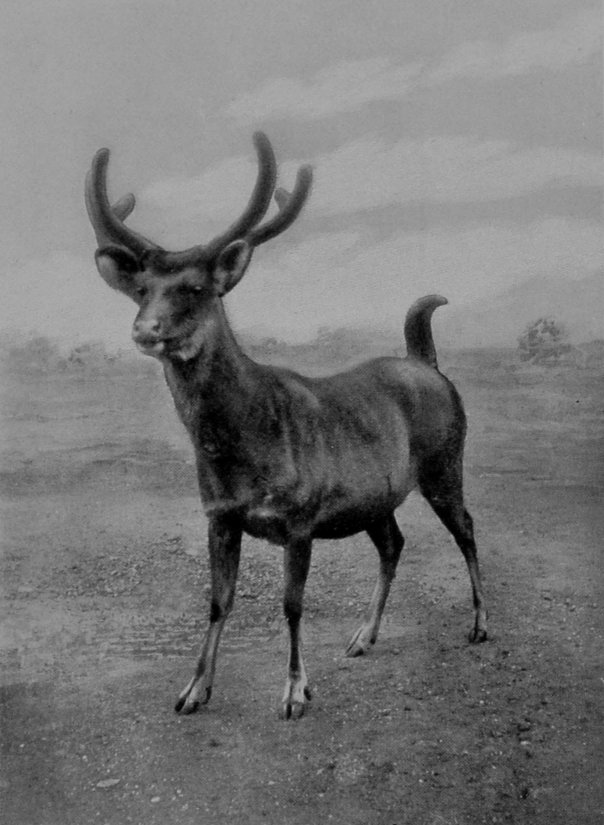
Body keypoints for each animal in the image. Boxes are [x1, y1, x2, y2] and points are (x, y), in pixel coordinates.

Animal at [85, 132, 487, 720]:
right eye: (142, 290)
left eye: (198, 288)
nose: (145, 330)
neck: (241, 446)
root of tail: (429, 364)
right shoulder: (219, 516)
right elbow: (218, 601)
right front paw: (194, 689)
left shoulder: (300, 516)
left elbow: (292, 604)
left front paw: (296, 692)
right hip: (377, 496)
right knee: (394, 543)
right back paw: (362, 637)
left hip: (445, 463)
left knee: (467, 529)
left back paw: (480, 625)